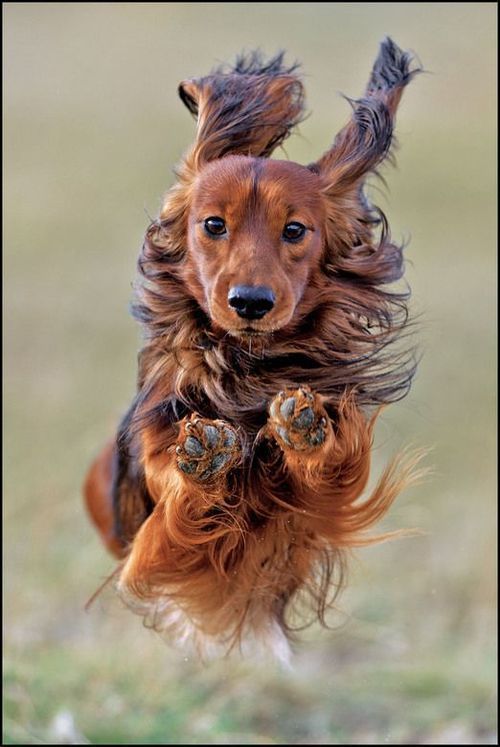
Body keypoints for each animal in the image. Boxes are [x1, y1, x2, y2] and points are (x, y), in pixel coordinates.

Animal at [85, 38, 422, 664]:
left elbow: (326, 466)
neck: (246, 370)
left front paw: (307, 430)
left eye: (295, 230)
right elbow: (177, 490)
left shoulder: (314, 508)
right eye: (213, 224)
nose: (250, 302)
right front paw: (205, 458)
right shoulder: (154, 530)